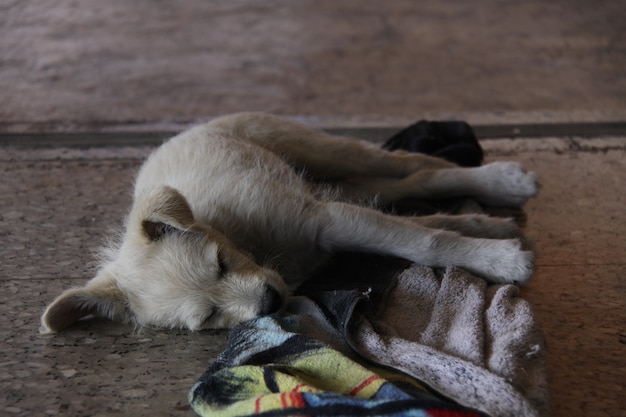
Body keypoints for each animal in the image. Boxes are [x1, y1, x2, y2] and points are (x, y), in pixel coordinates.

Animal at [40, 112, 536, 334]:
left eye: (220, 263)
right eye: (209, 317)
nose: (270, 301)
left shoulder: (327, 219)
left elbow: (423, 243)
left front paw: (499, 262)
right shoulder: (334, 216)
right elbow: (414, 229)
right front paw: (490, 244)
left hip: (318, 149)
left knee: (412, 164)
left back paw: (501, 182)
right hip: (336, 185)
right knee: (406, 185)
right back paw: (486, 220)